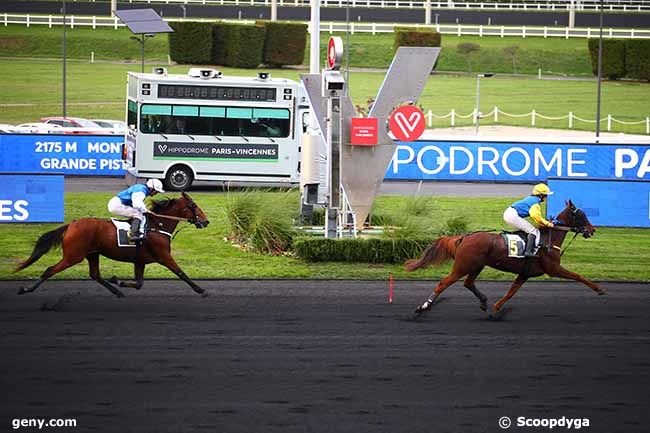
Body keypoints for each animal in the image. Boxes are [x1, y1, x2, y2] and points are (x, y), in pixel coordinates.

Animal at [13, 192, 209, 296]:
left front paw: (118, 281)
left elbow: (139, 283)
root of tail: (71, 225)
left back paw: (117, 291)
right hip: (73, 256)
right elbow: (181, 272)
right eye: (194, 205)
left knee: (95, 274)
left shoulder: (140, 261)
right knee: (50, 270)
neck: (157, 226)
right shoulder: (164, 256)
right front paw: (201, 289)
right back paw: (26, 288)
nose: (206, 221)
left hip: (92, 253)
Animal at [404, 198, 604, 314]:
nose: (592, 230)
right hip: (463, 266)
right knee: (444, 283)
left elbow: (511, 291)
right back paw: (423, 307)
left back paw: (484, 302)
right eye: (581, 215)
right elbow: (577, 275)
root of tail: (463, 237)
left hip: (477, 266)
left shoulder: (525, 273)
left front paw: (496, 306)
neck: (547, 240)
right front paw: (599, 289)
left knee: (468, 283)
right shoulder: (554, 269)